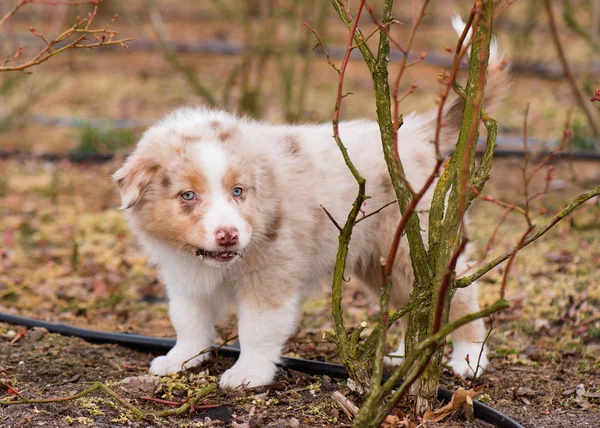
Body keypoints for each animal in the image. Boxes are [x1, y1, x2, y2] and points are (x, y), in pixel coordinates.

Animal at [112, 21, 506, 388]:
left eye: (238, 191)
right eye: (187, 196)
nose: (228, 235)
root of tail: (416, 134)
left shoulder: (272, 271)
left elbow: (257, 328)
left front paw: (247, 375)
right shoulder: (182, 274)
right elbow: (188, 318)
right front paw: (180, 359)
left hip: (415, 245)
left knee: (459, 300)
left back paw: (468, 359)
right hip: (383, 261)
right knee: (416, 304)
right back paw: (400, 356)